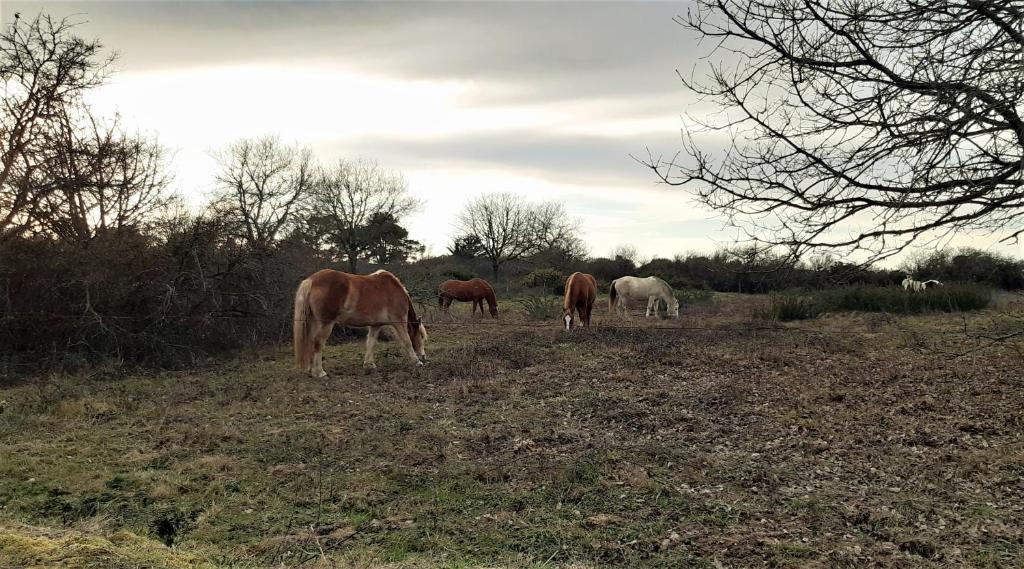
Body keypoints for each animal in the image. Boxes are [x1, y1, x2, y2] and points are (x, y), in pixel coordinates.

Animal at [293, 269, 427, 377]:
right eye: (421, 336)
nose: (424, 357)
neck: (394, 290)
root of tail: (311, 280)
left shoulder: (376, 325)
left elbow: (371, 343)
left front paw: (369, 364)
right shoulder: (399, 321)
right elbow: (407, 341)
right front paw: (417, 362)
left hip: (314, 323)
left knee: (311, 342)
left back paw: (312, 370)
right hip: (326, 324)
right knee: (318, 344)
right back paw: (319, 372)